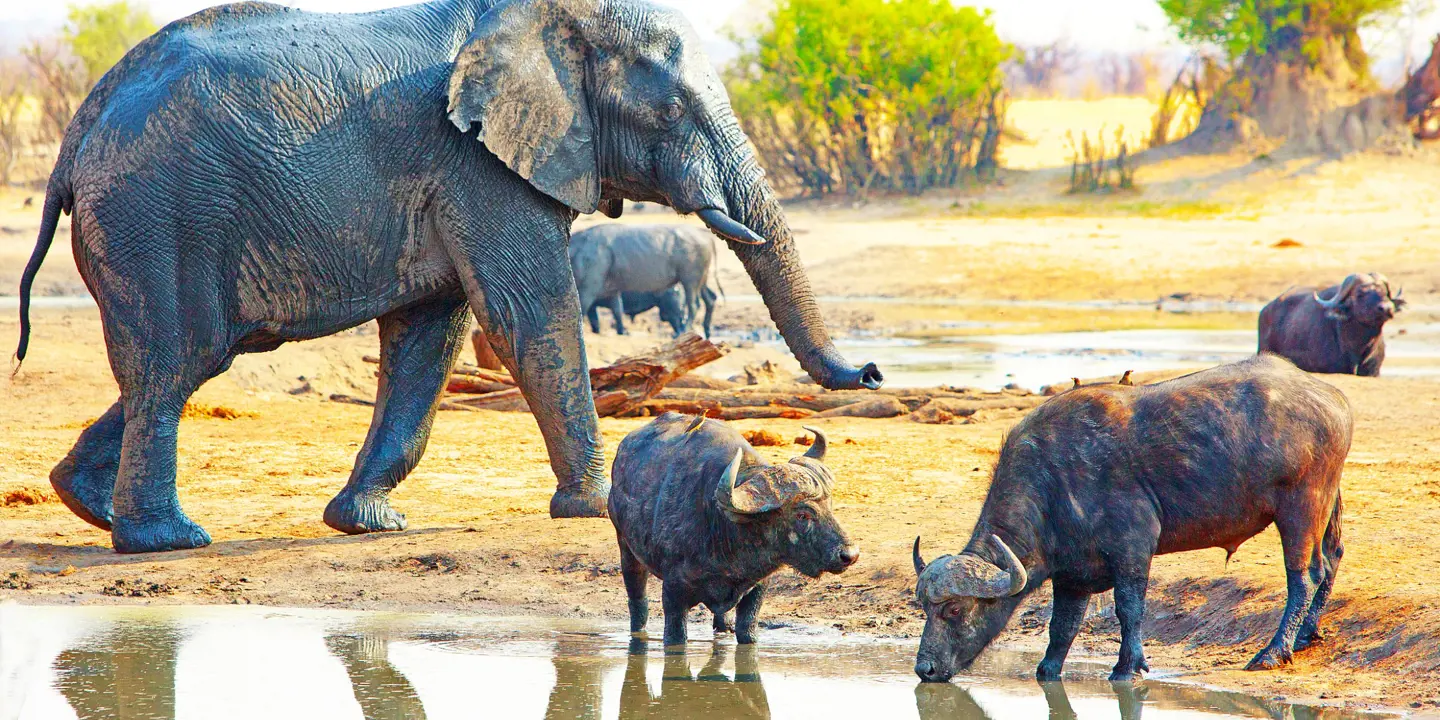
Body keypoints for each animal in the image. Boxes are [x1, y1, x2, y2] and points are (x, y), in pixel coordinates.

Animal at [567, 224, 720, 336]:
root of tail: (704, 235)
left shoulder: (587, 291)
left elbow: (582, 313)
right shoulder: (612, 292)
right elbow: (617, 311)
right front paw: (622, 332)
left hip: (690, 280)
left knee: (693, 305)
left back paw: (684, 331)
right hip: (701, 280)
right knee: (710, 300)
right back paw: (706, 331)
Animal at [607, 411, 852, 648]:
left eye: (829, 505)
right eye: (802, 515)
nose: (850, 555)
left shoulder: (758, 588)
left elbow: (747, 631)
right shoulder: (673, 592)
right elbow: (676, 638)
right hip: (626, 547)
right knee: (638, 601)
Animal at [910, 357, 1347, 682]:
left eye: (954, 610)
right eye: (924, 609)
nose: (924, 669)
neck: (1052, 482)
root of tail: (1332, 398)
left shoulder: (1133, 548)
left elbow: (1129, 609)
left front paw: (1127, 666)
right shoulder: (1073, 576)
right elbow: (1062, 626)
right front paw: (1048, 669)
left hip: (1300, 508)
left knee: (1304, 576)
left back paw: (1273, 652)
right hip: (1326, 506)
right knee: (1329, 562)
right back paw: (1305, 636)